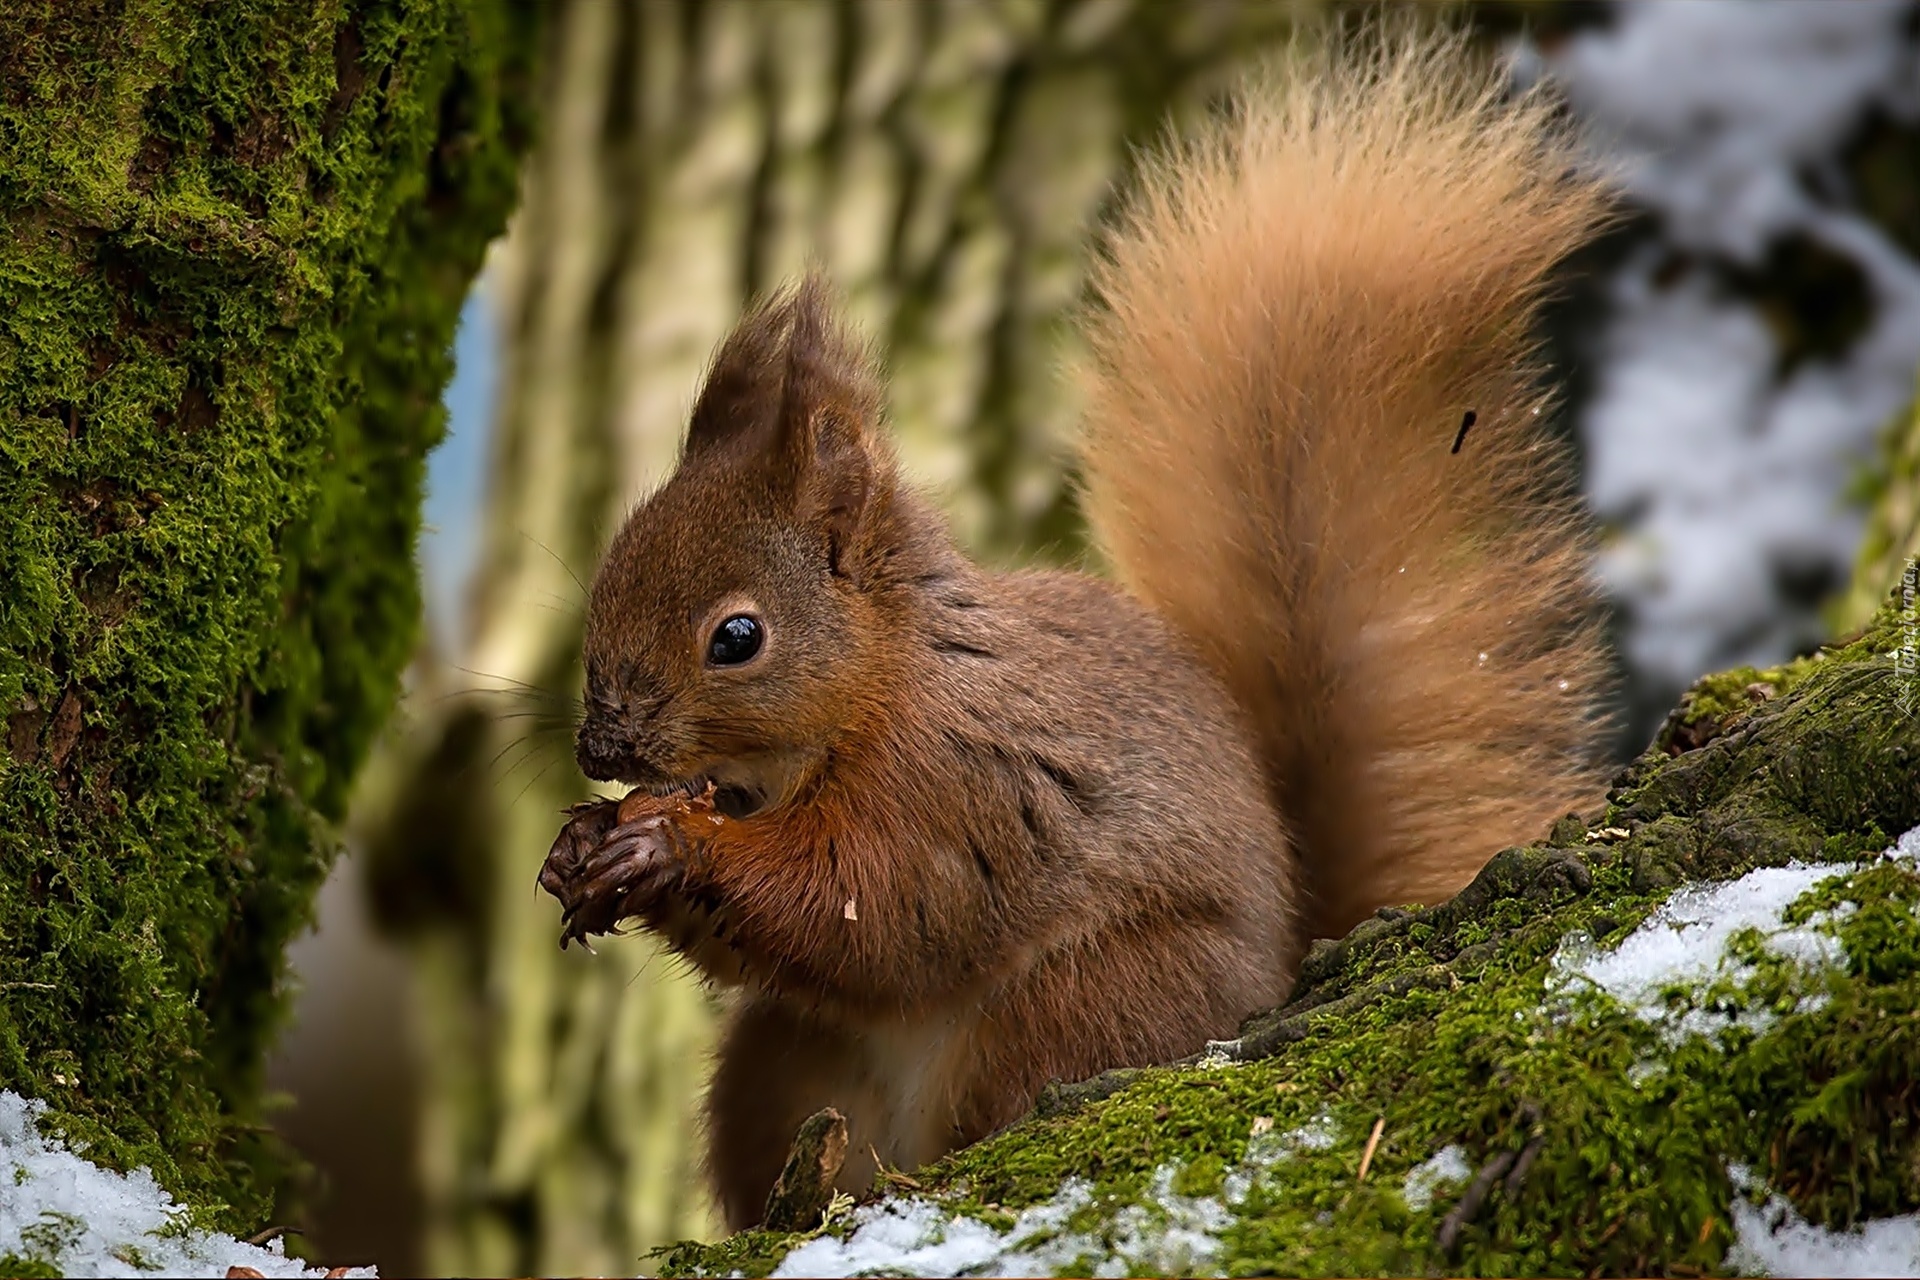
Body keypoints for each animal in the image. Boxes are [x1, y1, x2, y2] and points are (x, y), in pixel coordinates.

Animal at [560, 27, 1612, 1228]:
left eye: (737, 638)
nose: (602, 746)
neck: (881, 684)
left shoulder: (955, 781)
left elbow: (872, 903)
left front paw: (664, 842)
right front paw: (582, 846)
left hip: (1086, 999)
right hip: (777, 1064)